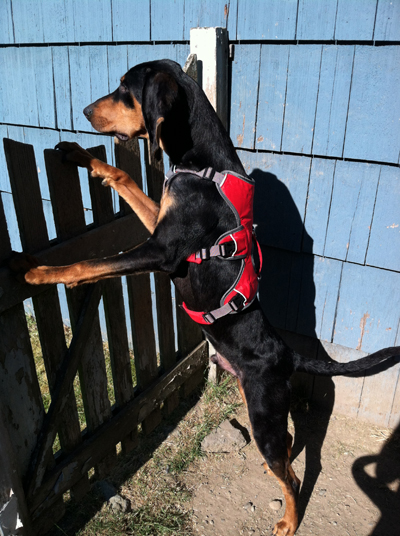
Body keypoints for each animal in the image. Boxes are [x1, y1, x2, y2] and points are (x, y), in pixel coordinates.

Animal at [12, 60, 400, 532]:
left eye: (125, 88)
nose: (85, 112)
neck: (202, 165)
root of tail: (287, 354)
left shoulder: (163, 252)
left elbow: (94, 261)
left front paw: (40, 272)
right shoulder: (158, 226)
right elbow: (125, 178)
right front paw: (79, 155)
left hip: (263, 412)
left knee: (291, 473)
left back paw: (289, 520)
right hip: (255, 401)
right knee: (289, 446)